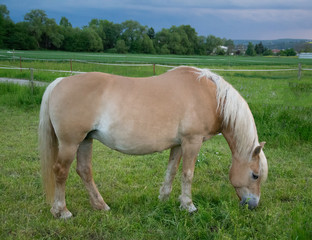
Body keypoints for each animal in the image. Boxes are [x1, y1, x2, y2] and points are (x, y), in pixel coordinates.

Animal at [39, 66, 268, 219]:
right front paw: (188, 205)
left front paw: (164, 199)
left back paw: (100, 206)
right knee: (60, 172)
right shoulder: (192, 141)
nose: (253, 205)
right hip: (70, 143)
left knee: (84, 171)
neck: (211, 97)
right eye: (255, 175)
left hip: (85, 140)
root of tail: (59, 81)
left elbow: (172, 171)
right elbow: (188, 174)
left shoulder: (178, 144)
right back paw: (62, 211)